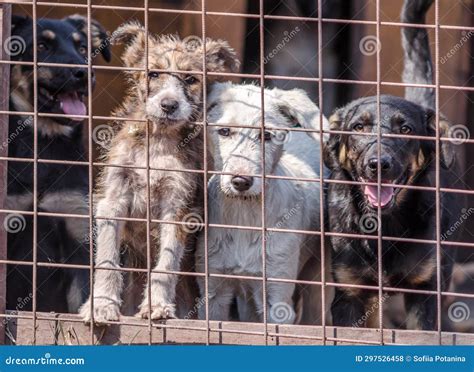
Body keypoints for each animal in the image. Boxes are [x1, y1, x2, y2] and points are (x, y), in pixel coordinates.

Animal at [194, 83, 328, 324]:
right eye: (224, 131)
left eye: (266, 135)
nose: (241, 181)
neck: (245, 215)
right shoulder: (213, 292)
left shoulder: (277, 296)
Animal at [324, 0, 458, 332]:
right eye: (358, 127)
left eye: (406, 129)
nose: (378, 165)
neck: (385, 224)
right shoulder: (350, 294)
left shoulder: (426, 294)